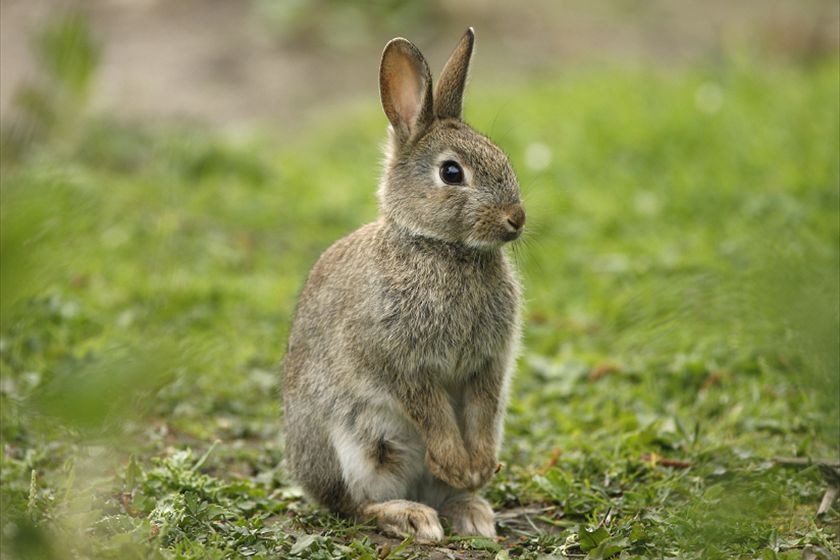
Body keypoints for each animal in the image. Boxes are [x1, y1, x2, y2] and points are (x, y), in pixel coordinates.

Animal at [286, 27, 528, 544]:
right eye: (451, 172)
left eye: (502, 157)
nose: (515, 219)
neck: (443, 248)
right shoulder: (403, 364)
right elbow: (431, 410)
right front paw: (459, 463)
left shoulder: (488, 363)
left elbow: (482, 407)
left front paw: (477, 468)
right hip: (357, 450)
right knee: (353, 506)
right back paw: (412, 516)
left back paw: (471, 509)